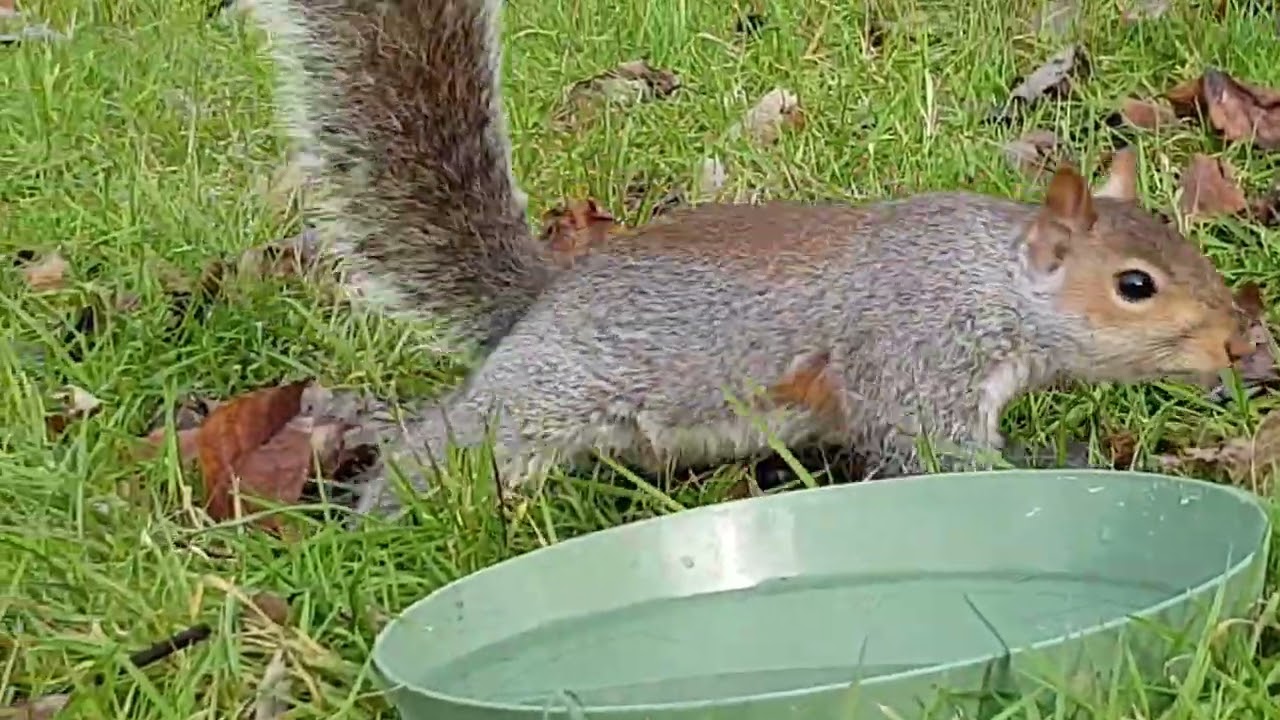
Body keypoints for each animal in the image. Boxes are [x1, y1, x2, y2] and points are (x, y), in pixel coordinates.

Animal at [244, 0, 1256, 515]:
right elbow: (937, 453)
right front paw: (1075, 460)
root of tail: (544, 298)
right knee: (453, 443)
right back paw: (397, 513)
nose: (1239, 344)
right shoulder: (917, 351)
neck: (990, 278)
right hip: (544, 399)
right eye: (1134, 286)